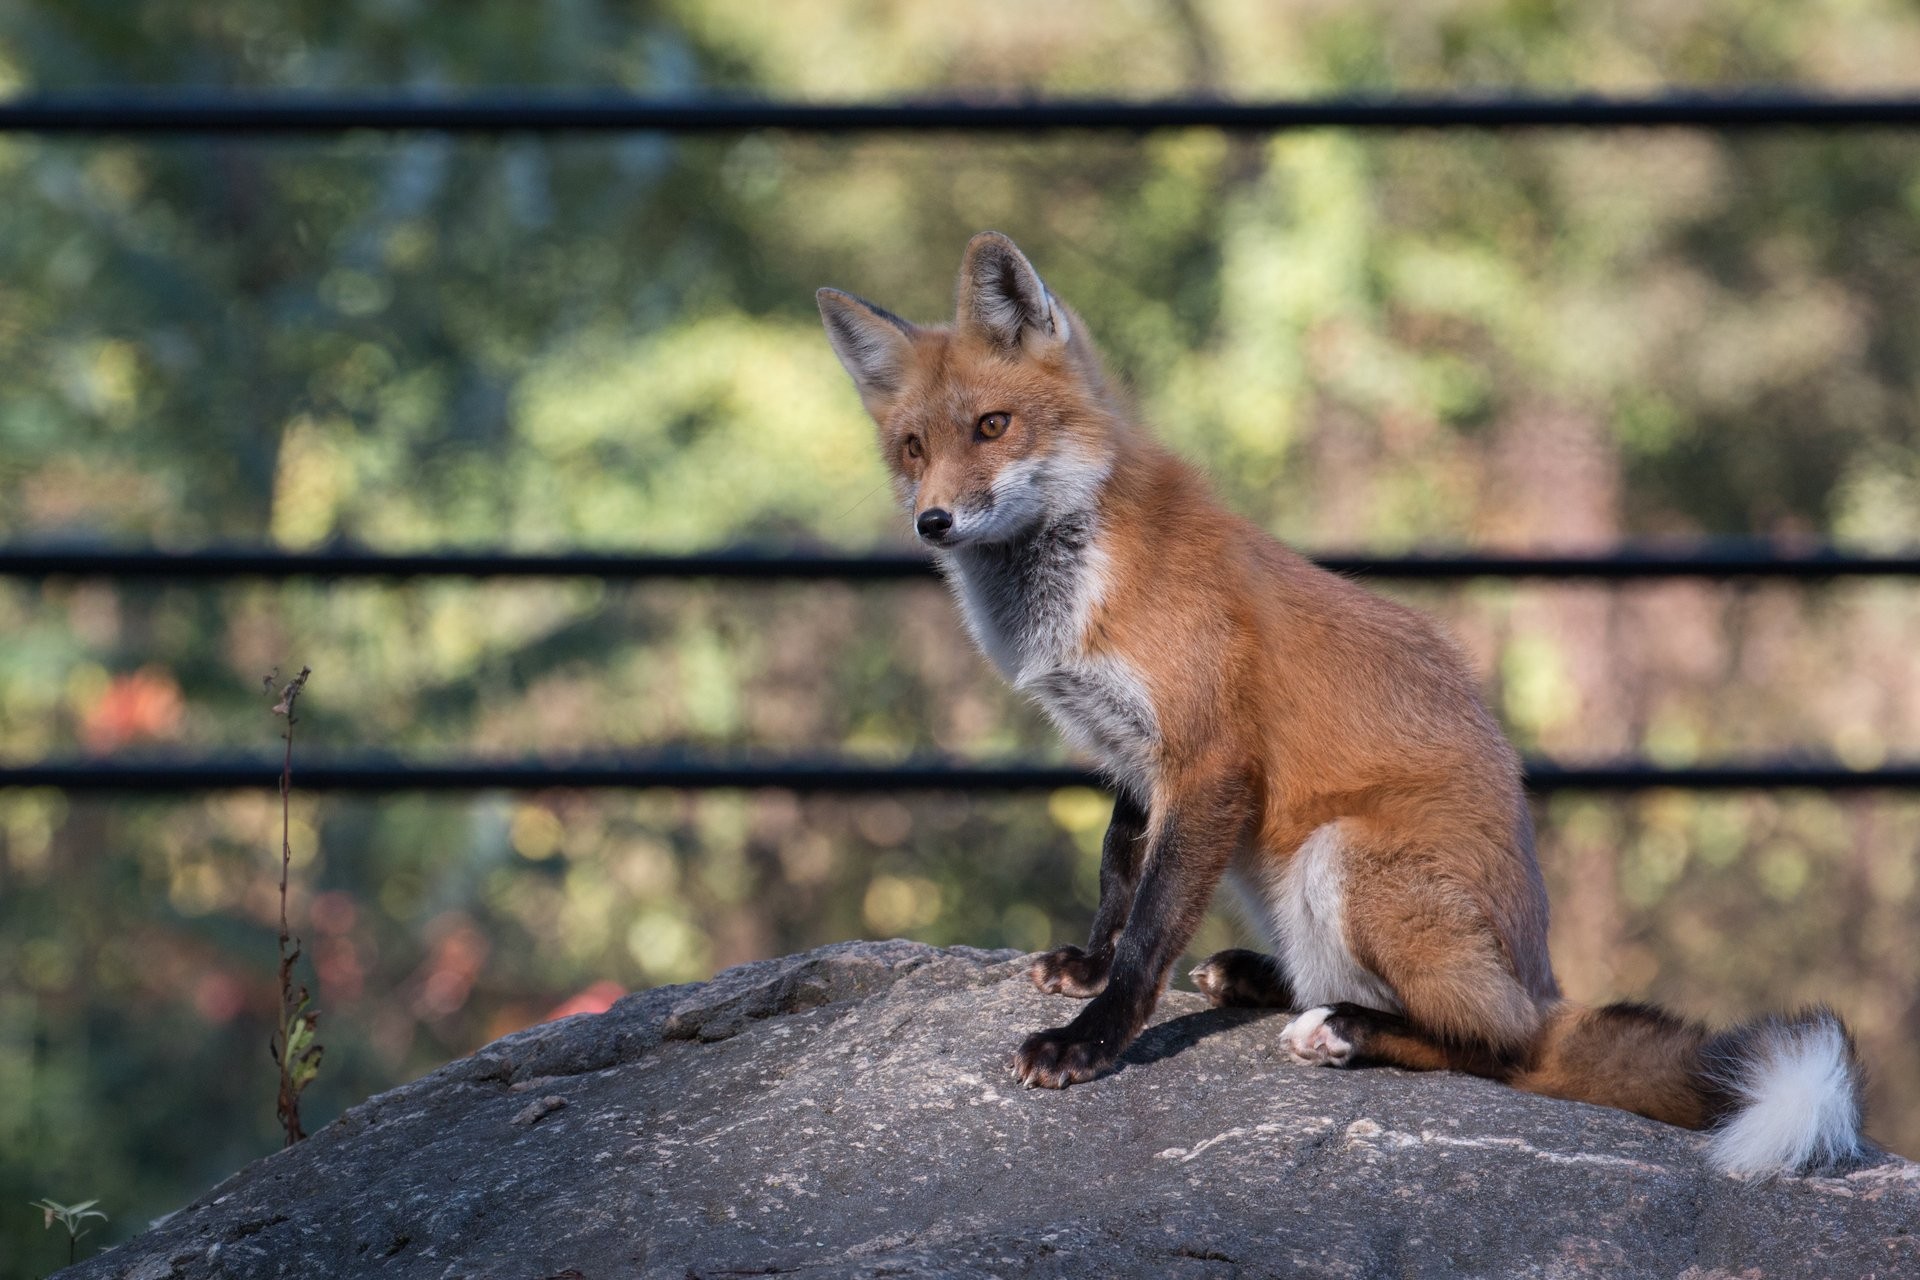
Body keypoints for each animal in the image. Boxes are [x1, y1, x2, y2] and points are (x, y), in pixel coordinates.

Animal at [817, 233, 1866, 1182]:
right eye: (913, 448)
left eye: (994, 427)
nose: (933, 520)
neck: (1079, 586)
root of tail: (1544, 982)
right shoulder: (1138, 761)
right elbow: (1119, 875)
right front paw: (1084, 964)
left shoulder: (1209, 759)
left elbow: (1153, 925)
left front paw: (1091, 1037)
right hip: (1271, 868)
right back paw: (1261, 979)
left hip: (1345, 859)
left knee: (1497, 1047)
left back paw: (1350, 1031)